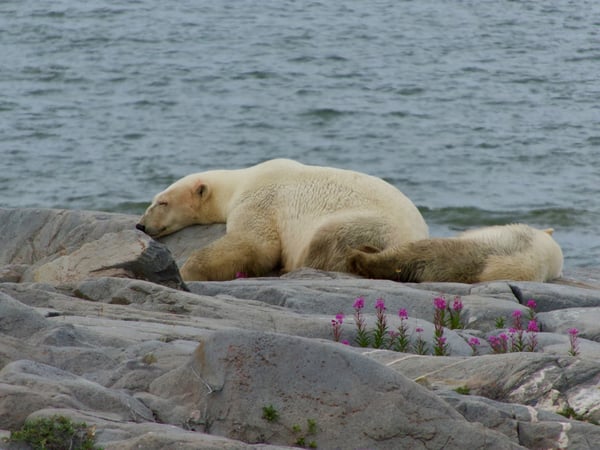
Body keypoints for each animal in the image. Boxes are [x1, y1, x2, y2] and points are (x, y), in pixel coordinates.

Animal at [136, 159, 426, 282]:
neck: (238, 182)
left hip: (369, 225)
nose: (141, 225)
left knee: (327, 240)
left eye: (162, 202)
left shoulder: (260, 200)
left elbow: (256, 243)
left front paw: (188, 271)